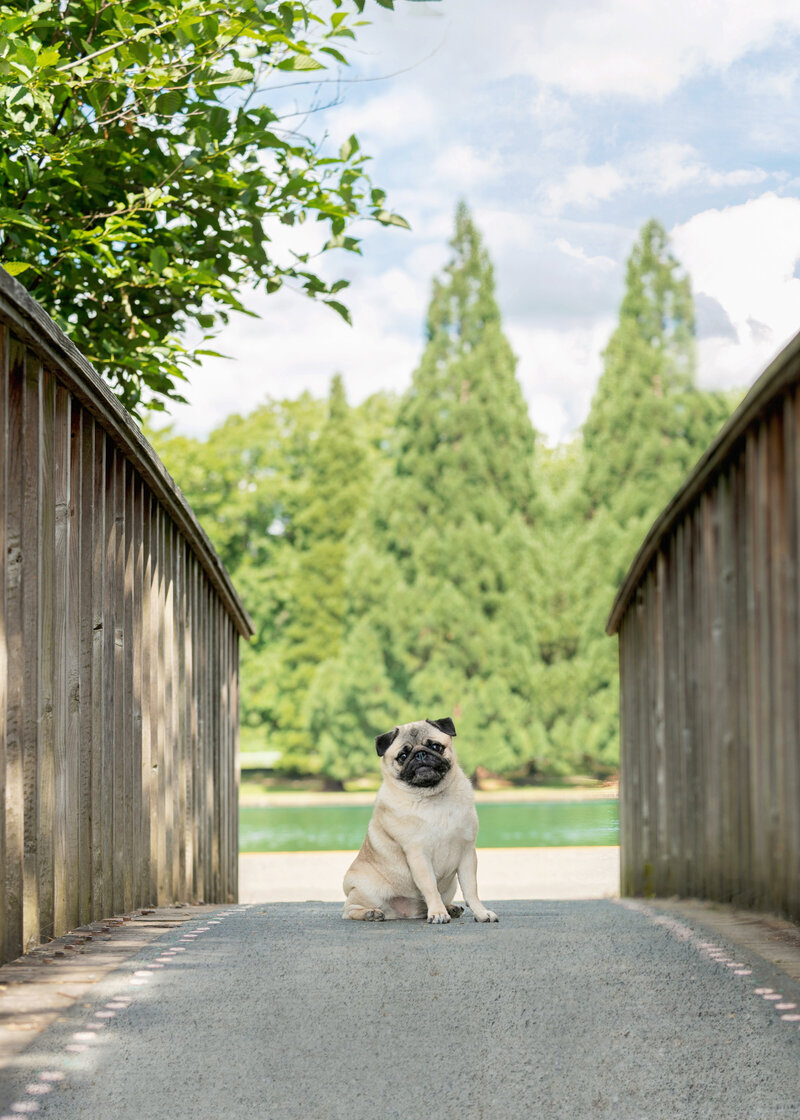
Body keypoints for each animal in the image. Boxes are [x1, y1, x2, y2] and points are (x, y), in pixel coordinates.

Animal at [340, 721, 495, 922]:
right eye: (403, 756)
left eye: (435, 746)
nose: (420, 754)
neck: (432, 797)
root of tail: (405, 913)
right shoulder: (418, 855)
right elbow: (430, 887)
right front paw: (438, 913)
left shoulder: (467, 851)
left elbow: (471, 889)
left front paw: (481, 913)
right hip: (367, 890)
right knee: (348, 910)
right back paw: (370, 913)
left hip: (450, 885)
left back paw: (450, 908)